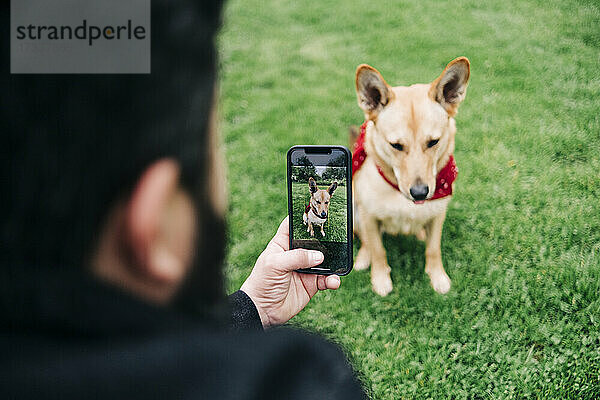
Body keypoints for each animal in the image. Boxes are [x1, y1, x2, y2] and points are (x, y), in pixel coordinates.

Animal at [350, 56, 472, 296]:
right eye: (396, 145)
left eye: (433, 142)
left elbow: (433, 250)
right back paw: (362, 259)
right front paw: (381, 279)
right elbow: (378, 250)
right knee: (367, 243)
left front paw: (438, 277)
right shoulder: (369, 217)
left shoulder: (438, 216)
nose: (419, 193)